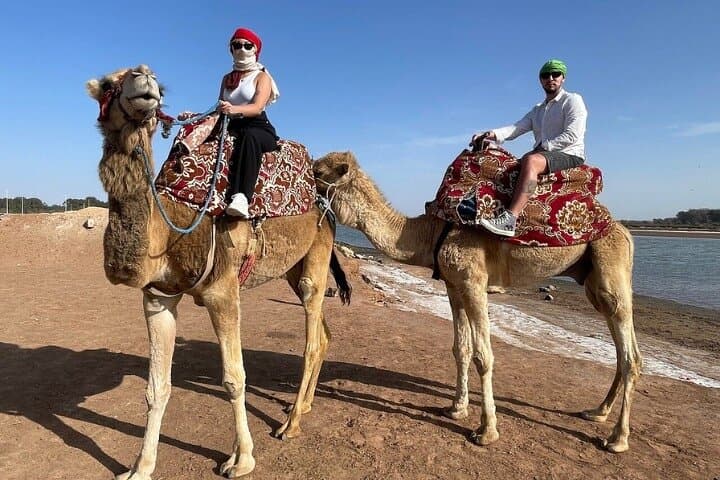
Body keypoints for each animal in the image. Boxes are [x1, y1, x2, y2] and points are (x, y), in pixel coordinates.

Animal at [86, 64, 348, 479]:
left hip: (317, 257)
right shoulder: (159, 298)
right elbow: (157, 387)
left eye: (159, 86)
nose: (144, 79)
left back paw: (290, 426)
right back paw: (301, 408)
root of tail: (323, 196)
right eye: (109, 84)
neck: (172, 225)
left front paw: (242, 459)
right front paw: (140, 468)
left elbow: (234, 379)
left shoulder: (222, 291)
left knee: (311, 335)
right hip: (293, 265)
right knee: (323, 333)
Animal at [313, 151, 642, 453]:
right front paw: (456, 409)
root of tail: (625, 232)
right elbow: (461, 348)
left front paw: (486, 431)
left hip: (611, 269)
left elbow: (484, 356)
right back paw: (597, 412)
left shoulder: (474, 283)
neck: (429, 234)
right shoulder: (453, 285)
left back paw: (617, 439)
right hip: (593, 283)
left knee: (630, 355)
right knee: (621, 349)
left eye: (317, 171)